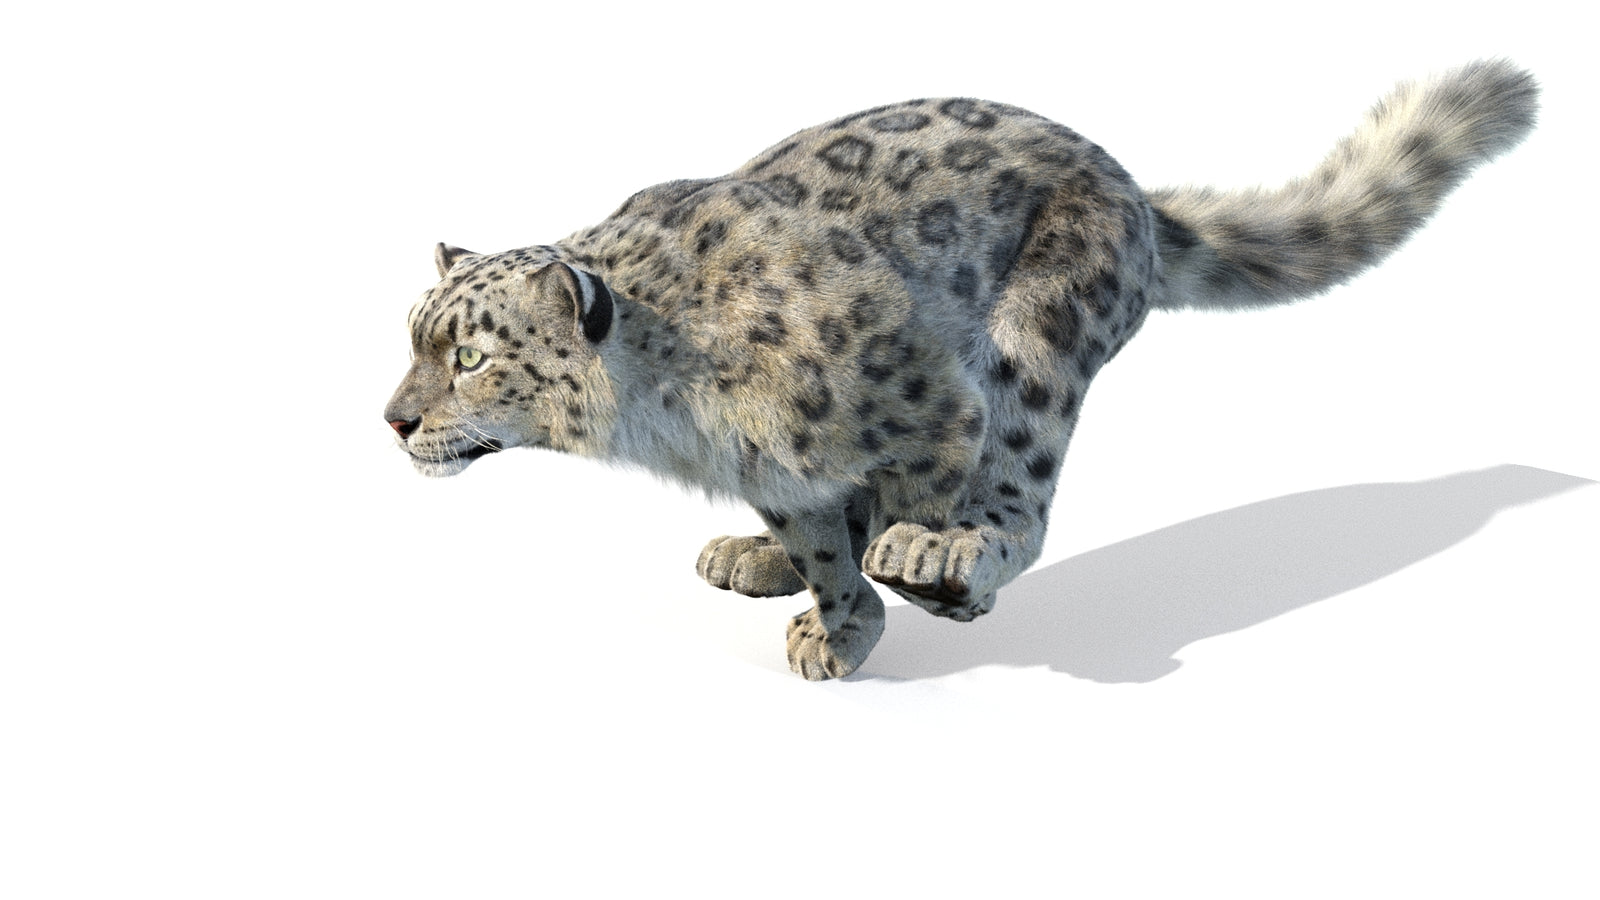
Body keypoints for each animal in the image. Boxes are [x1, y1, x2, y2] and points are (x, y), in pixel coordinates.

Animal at [384, 60, 1538, 680]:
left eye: (469, 357)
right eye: (411, 339)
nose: (393, 421)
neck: (671, 414)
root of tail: (1130, 188)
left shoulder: (929, 399)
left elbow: (912, 495)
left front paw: (908, 578)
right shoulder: (774, 471)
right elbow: (817, 535)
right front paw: (834, 615)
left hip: (1041, 338)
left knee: (1022, 487)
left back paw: (954, 554)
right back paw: (752, 558)